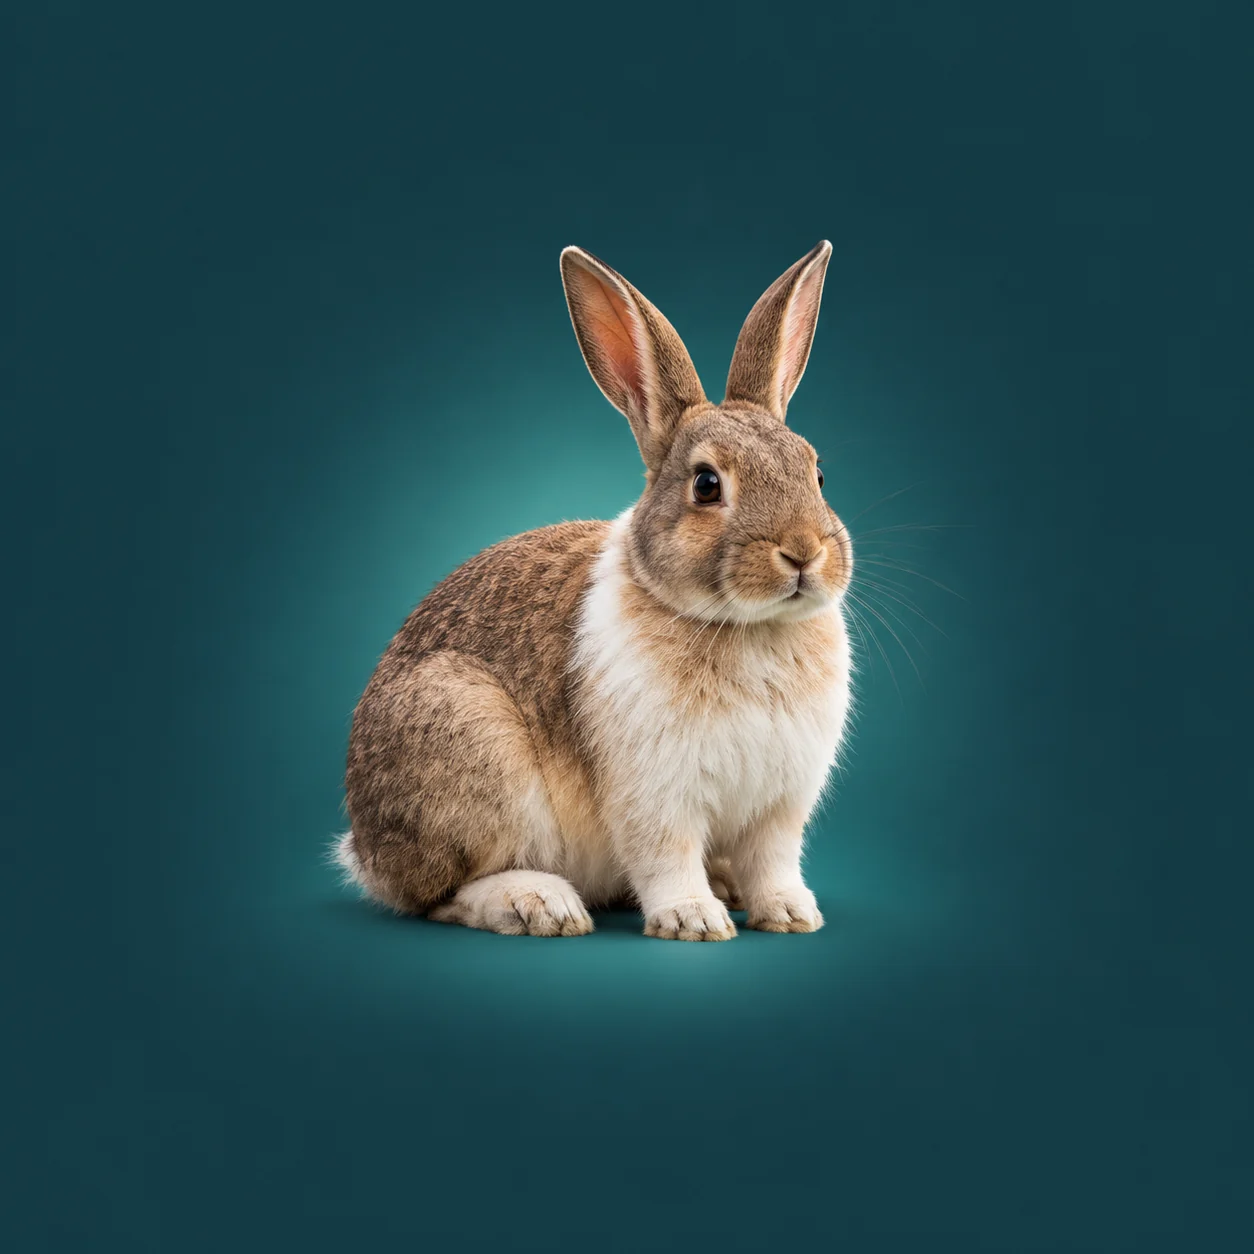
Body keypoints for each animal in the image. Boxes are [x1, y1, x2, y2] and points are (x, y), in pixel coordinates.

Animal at [338, 241, 852, 940]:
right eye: (707, 485)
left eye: (817, 473)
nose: (804, 552)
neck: (748, 626)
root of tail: (365, 851)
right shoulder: (655, 794)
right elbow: (665, 854)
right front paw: (694, 921)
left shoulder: (778, 806)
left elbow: (773, 861)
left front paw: (794, 915)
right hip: (471, 755)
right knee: (438, 894)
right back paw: (540, 904)